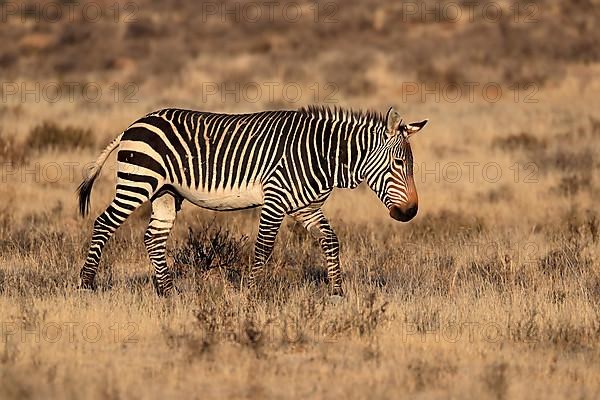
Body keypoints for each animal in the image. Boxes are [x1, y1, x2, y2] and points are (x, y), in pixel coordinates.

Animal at [78, 106, 426, 296]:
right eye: (398, 164)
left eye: (411, 165)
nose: (410, 213)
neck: (322, 155)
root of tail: (133, 125)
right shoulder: (275, 199)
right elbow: (263, 248)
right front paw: (252, 292)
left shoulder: (306, 207)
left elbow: (330, 241)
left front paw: (336, 292)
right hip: (137, 182)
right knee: (104, 223)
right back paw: (87, 283)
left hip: (165, 193)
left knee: (153, 237)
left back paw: (168, 292)